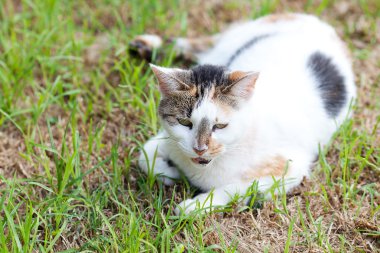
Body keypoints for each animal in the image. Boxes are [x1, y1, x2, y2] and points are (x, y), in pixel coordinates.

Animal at [134, 13, 356, 214]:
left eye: (220, 126)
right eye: (184, 122)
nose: (200, 149)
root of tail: (311, 19)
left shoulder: (291, 168)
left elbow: (236, 187)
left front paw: (195, 205)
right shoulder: (170, 139)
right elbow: (144, 153)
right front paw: (170, 173)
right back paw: (144, 46)